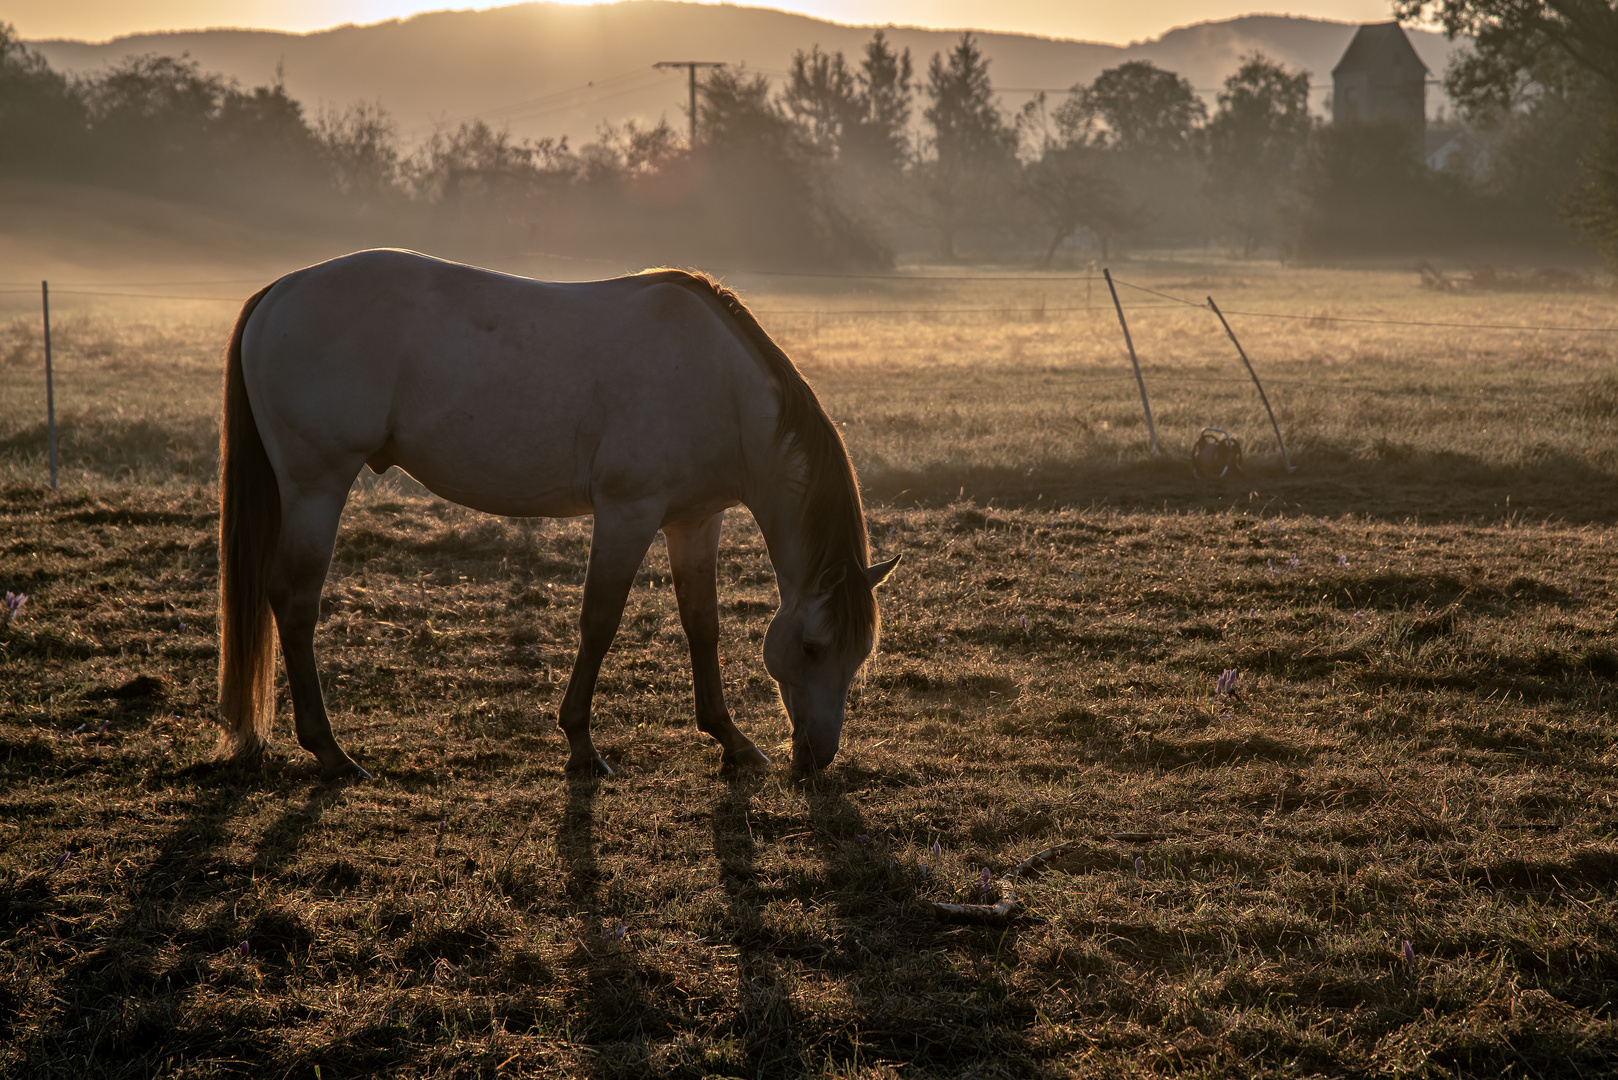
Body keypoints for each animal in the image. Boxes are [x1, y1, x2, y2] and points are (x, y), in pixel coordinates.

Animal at [215, 250, 899, 780]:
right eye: (811, 648)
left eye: (859, 655)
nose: (817, 758)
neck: (720, 386)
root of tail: (281, 289)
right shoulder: (627, 513)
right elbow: (599, 622)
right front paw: (581, 745)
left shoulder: (693, 520)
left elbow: (701, 626)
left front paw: (730, 740)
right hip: (317, 485)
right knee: (295, 601)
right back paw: (330, 752)